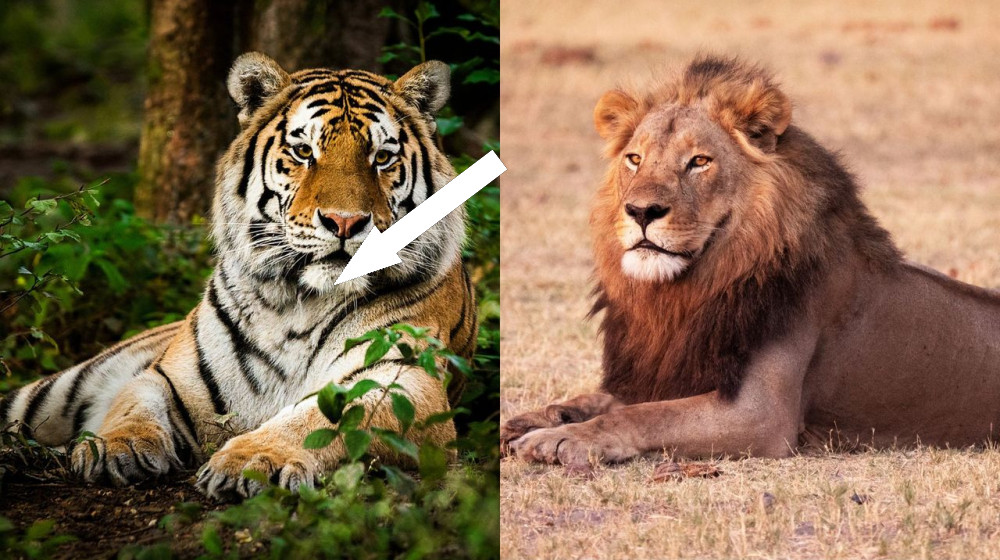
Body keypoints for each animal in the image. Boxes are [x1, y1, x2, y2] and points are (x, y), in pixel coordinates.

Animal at [0, 52, 478, 501]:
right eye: (304, 152)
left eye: (381, 158)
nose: (345, 222)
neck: (299, 302)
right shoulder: (169, 376)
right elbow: (132, 404)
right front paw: (115, 446)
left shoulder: (403, 379)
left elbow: (321, 418)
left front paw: (253, 460)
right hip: (56, 390)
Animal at [501, 55, 1000, 467]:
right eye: (635, 159)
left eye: (699, 161)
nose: (641, 211)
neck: (690, 292)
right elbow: (609, 400)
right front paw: (541, 417)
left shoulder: (761, 414)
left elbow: (645, 416)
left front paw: (563, 438)